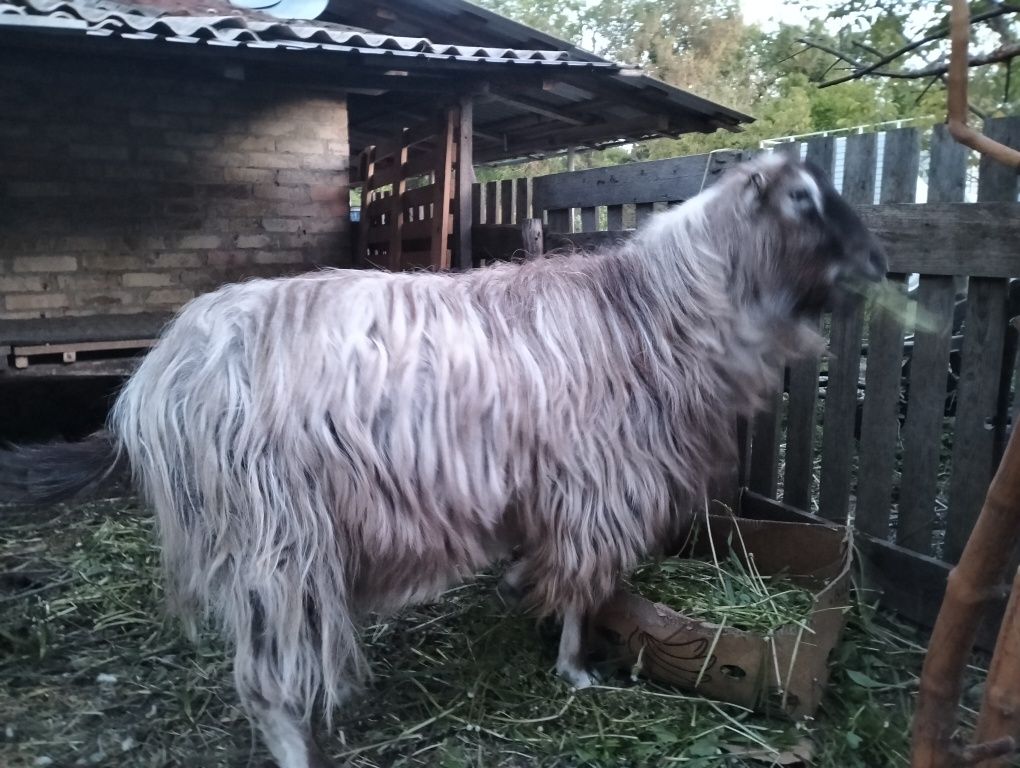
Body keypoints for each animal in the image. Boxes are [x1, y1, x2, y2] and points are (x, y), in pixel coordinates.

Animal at [0, 152, 885, 762]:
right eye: (804, 199)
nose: (878, 264)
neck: (651, 312)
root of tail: (152, 382)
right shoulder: (595, 485)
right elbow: (583, 583)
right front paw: (575, 669)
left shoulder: (548, 482)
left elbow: (545, 564)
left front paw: (522, 592)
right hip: (274, 540)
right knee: (268, 684)